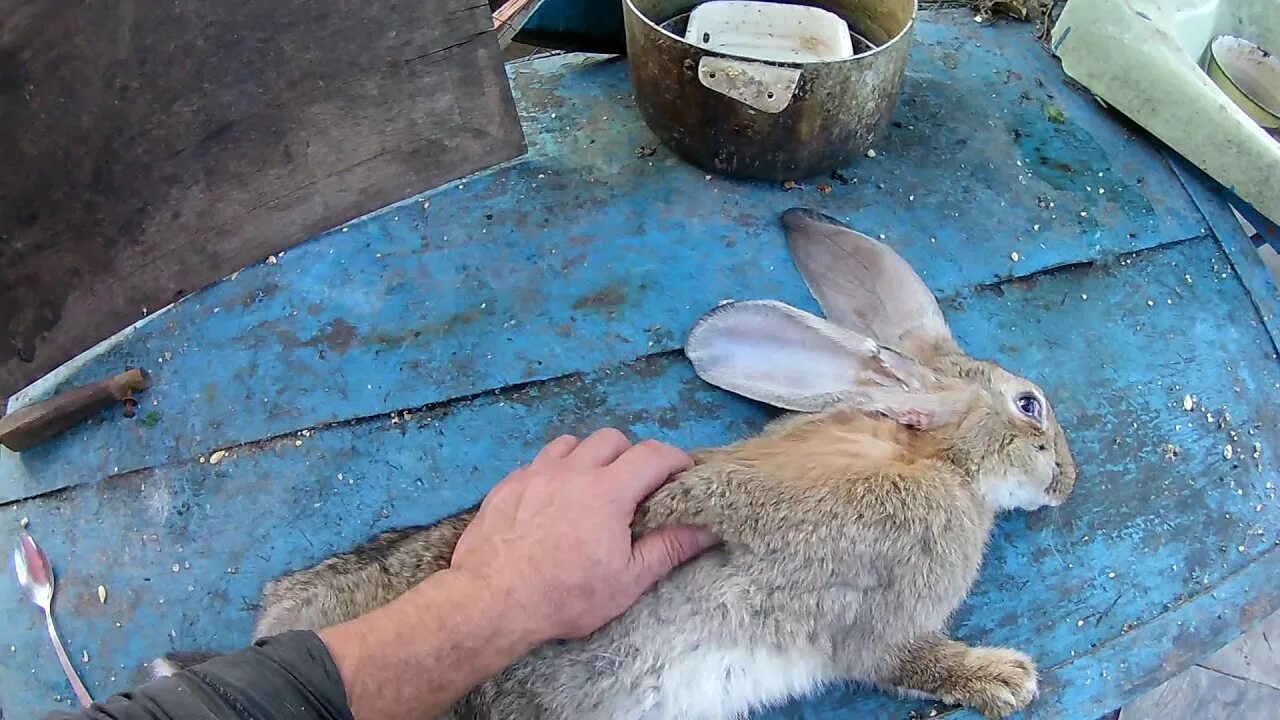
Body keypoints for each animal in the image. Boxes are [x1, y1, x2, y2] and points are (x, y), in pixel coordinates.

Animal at [152, 207, 1080, 717]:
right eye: (1030, 405)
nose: (1068, 484)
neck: (931, 458)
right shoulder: (871, 617)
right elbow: (899, 662)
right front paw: (1005, 680)